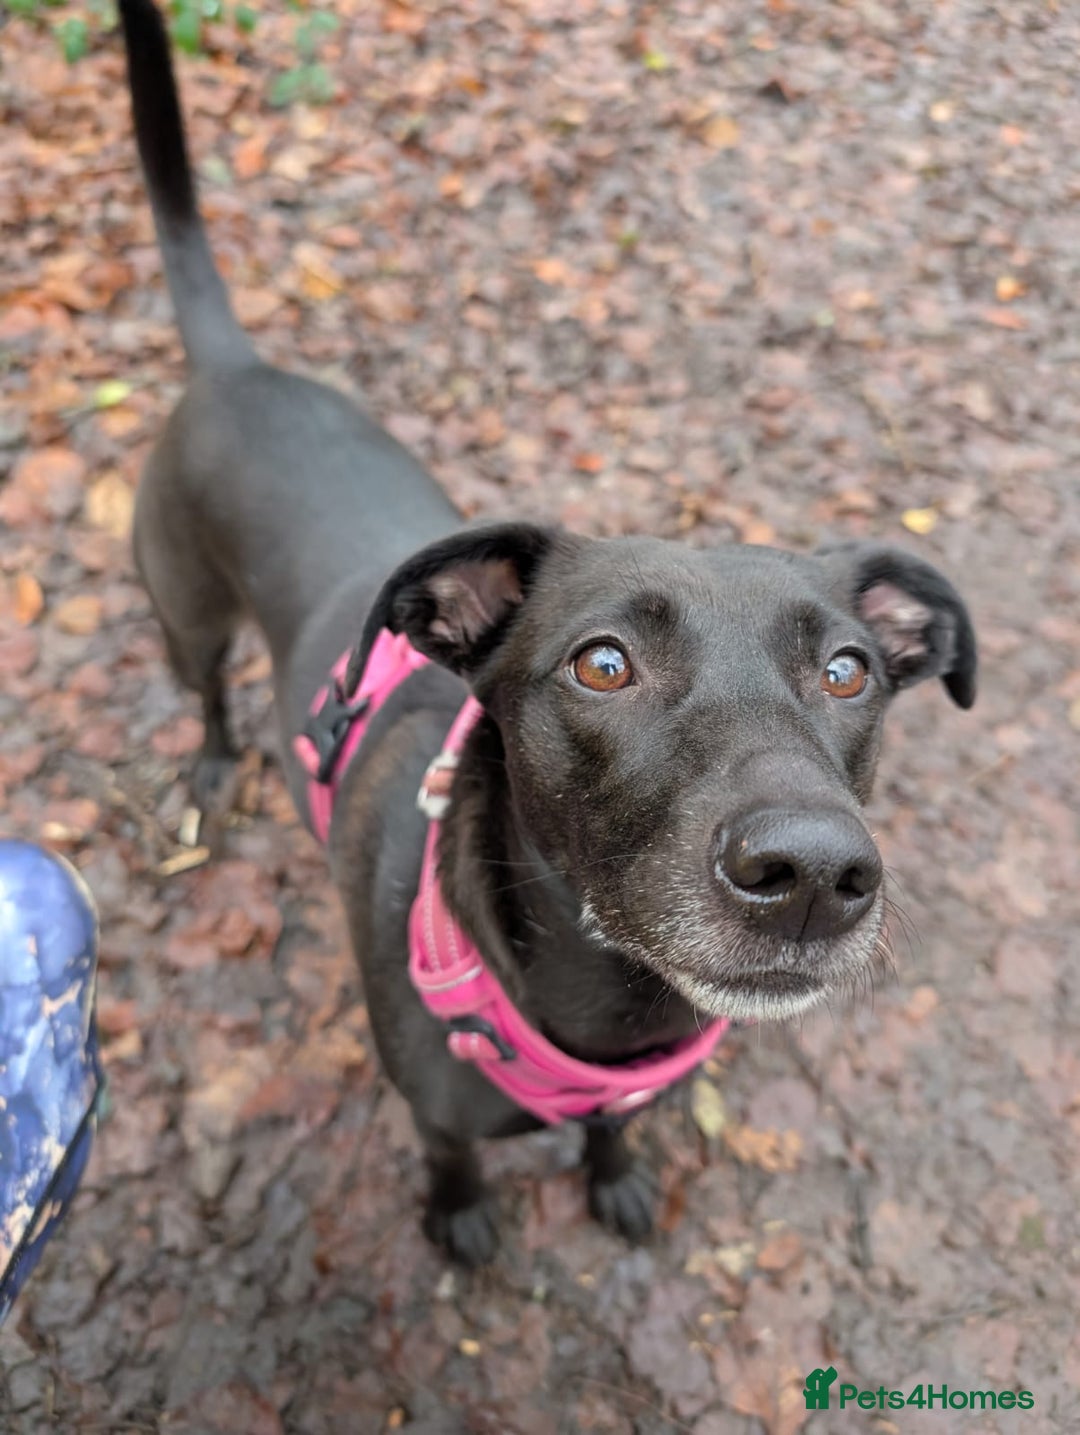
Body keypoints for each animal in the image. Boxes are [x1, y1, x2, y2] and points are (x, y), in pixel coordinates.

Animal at [118, 0, 976, 1264]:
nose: (816, 873)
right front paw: (461, 1216)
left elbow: (615, 1132)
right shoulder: (436, 1110)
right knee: (206, 687)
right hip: (183, 614)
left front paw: (612, 1177)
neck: (611, 1010)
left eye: (847, 670)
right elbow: (452, 1157)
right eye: (603, 663)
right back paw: (221, 762)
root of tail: (236, 368)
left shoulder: (634, 1085)